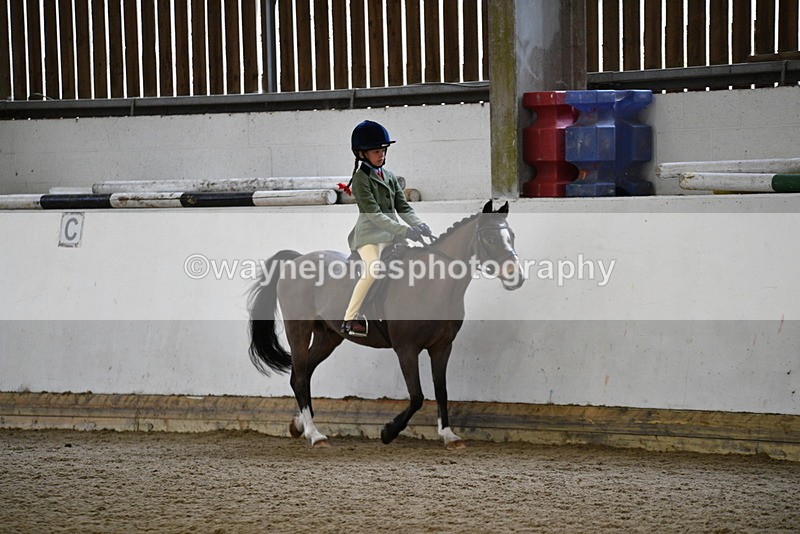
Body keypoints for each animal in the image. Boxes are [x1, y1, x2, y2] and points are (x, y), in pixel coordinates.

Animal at [247, 200, 524, 448]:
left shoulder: (442, 347)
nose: (517, 277)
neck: (431, 284)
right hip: (299, 330)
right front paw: (388, 431)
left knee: (302, 374)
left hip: (328, 337)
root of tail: (297, 259)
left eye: (511, 236)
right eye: (490, 239)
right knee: (300, 378)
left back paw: (299, 425)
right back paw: (315, 435)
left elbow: (441, 390)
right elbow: (417, 396)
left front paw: (448, 435)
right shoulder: (406, 349)